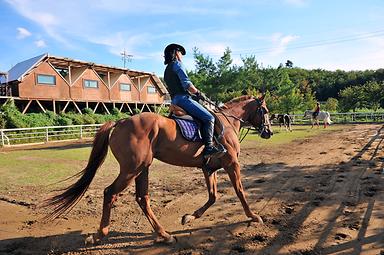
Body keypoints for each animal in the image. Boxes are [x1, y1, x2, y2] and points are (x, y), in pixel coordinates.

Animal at [44, 94, 272, 244]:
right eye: (266, 111)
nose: (268, 132)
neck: (227, 122)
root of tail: (120, 121)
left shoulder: (209, 168)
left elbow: (213, 196)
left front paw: (189, 217)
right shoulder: (231, 164)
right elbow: (240, 191)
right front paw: (253, 216)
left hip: (142, 169)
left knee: (142, 198)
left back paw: (163, 234)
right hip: (131, 169)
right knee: (110, 193)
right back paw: (100, 234)